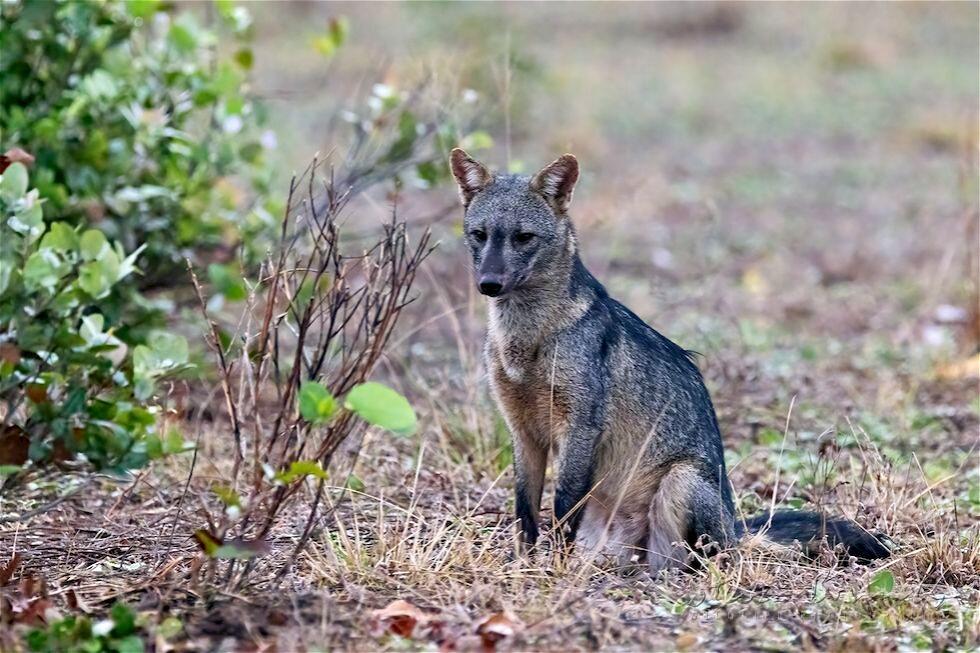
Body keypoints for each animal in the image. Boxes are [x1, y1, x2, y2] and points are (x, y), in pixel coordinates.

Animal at [450, 147, 890, 572]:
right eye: (480, 235)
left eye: (524, 237)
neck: (525, 341)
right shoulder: (523, 430)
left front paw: (552, 571)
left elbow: (561, 512)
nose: (489, 284)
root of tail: (735, 529)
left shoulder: (580, 428)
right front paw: (521, 565)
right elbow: (525, 512)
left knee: (693, 563)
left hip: (681, 482)